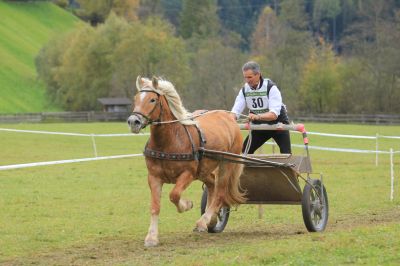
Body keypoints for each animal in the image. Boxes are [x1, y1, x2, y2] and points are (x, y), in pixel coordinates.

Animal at [128, 76, 247, 247]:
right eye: (135, 98)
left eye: (152, 99)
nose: (133, 121)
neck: (170, 140)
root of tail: (229, 117)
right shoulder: (154, 177)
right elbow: (155, 207)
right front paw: (151, 237)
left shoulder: (188, 174)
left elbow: (174, 195)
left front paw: (186, 205)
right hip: (204, 170)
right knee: (212, 185)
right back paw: (210, 220)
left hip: (227, 164)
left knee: (220, 192)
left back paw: (203, 221)